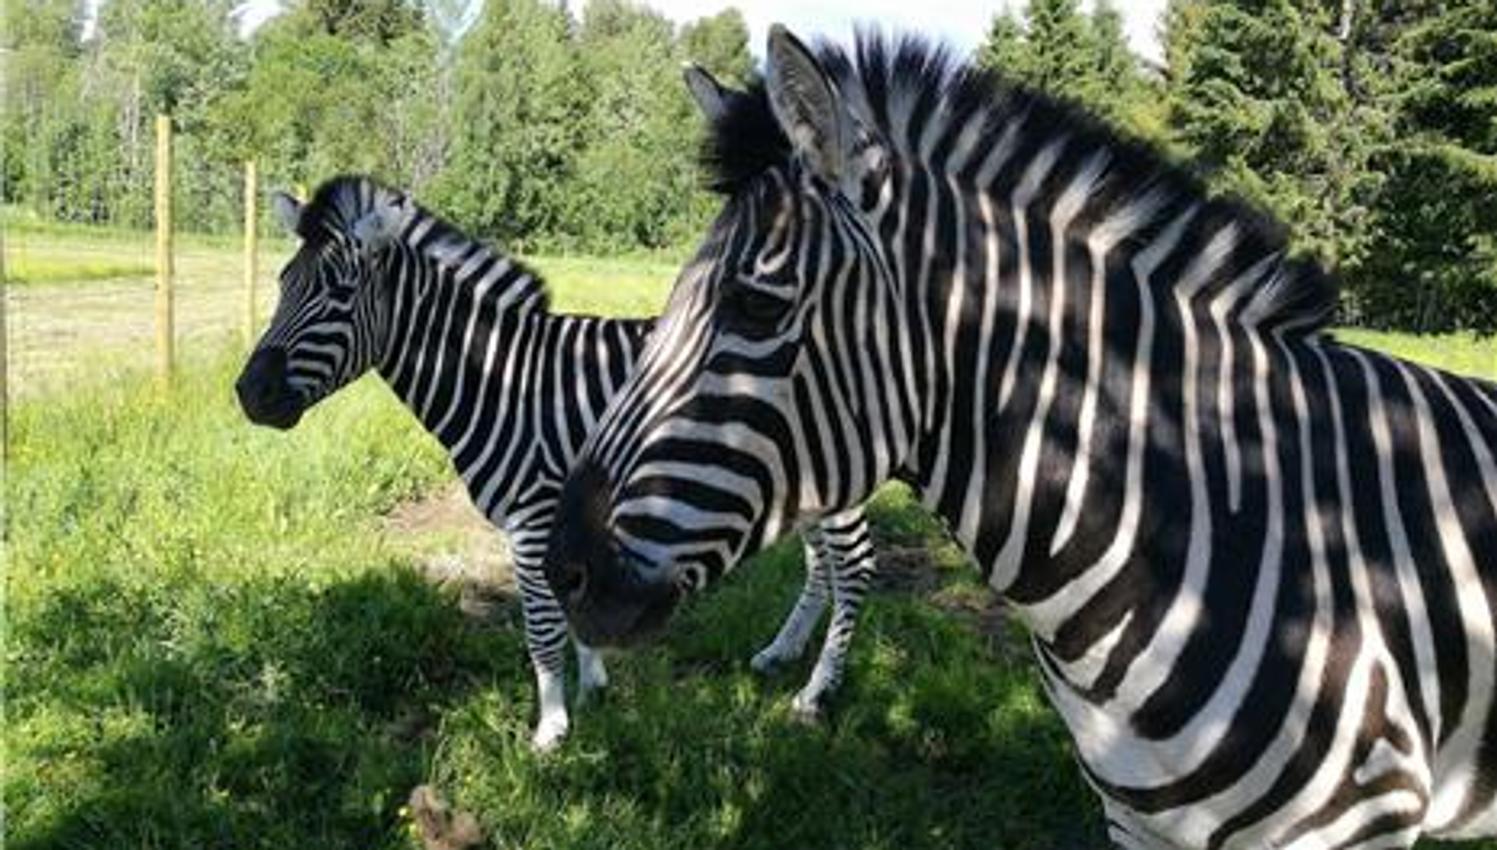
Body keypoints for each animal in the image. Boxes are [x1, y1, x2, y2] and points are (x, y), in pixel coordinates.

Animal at [233, 175, 877, 750]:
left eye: (339, 294)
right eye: (283, 282)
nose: (249, 395)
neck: (503, 380)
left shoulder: (533, 516)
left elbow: (541, 627)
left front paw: (550, 730)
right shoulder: (568, 524)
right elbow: (570, 606)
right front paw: (591, 687)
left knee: (854, 570)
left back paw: (816, 694)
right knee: (821, 565)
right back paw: (781, 653)